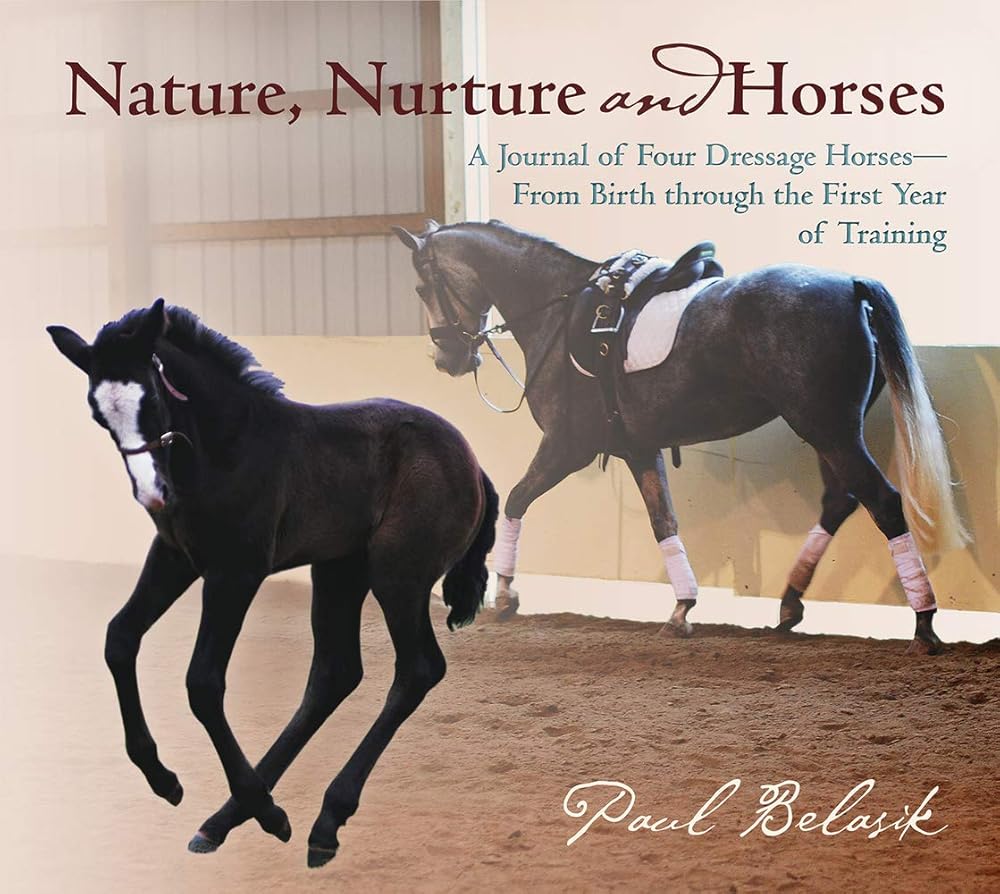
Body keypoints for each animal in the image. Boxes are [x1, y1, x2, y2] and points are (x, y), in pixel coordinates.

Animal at [46, 298, 499, 867]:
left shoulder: (236, 573)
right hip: (339, 571)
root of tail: (472, 463)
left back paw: (320, 818)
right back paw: (227, 819)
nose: (152, 494)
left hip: (398, 576)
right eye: (98, 413)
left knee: (417, 669)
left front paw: (266, 811)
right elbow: (119, 638)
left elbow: (202, 683)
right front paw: (164, 780)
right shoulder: (175, 558)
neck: (224, 448)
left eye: (151, 398)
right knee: (334, 673)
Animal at [392, 219, 970, 655]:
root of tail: (850, 285)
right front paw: (682, 607)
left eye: (422, 287)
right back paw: (790, 601)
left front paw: (506, 595)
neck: (558, 309)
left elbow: (514, 500)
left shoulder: (566, 448)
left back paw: (923, 622)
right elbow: (662, 520)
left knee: (883, 503)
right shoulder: (638, 448)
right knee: (840, 501)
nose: (447, 358)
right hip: (830, 432)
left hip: (828, 430)